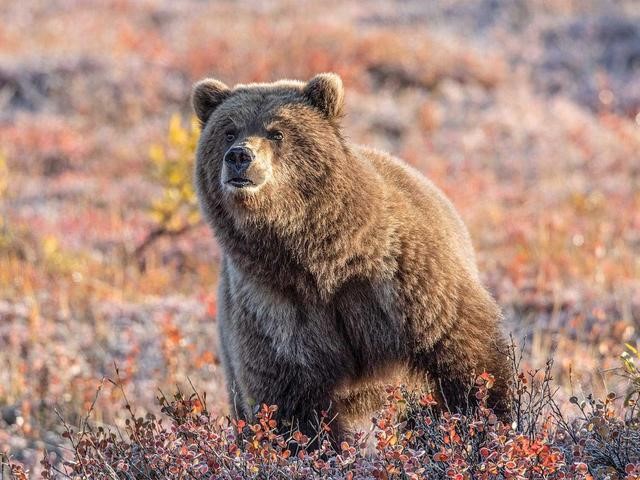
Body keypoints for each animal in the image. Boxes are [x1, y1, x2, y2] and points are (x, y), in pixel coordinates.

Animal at [192, 71, 512, 442]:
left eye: (277, 131)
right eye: (229, 130)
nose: (239, 156)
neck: (319, 257)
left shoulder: (402, 279)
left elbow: (468, 356)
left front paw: (487, 421)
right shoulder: (273, 305)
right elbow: (290, 400)